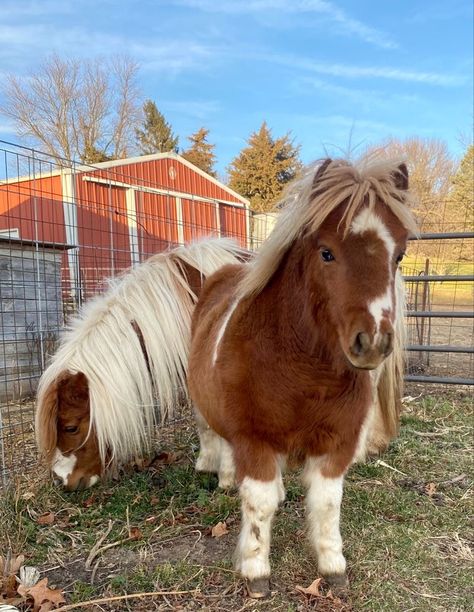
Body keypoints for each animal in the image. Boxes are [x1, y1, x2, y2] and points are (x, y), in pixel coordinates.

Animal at [187, 158, 416, 596]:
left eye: (399, 256)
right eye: (326, 253)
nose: (373, 342)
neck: (303, 373)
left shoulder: (337, 445)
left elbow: (326, 504)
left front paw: (333, 566)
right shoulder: (254, 439)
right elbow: (258, 505)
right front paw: (256, 571)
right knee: (214, 438)